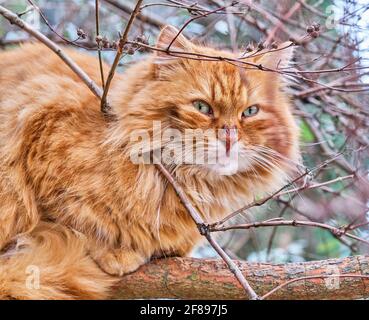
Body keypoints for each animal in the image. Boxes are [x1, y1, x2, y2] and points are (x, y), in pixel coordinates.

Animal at [0, 25, 300, 300]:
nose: (230, 138)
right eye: (202, 107)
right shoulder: (39, 112)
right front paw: (110, 249)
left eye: (250, 112)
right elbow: (69, 219)